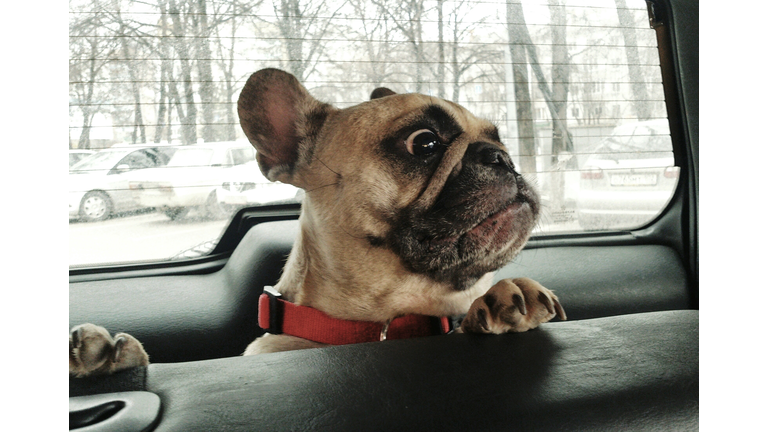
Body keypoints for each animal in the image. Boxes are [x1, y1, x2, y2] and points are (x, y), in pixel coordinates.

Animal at [69, 68, 568, 378]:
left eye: (499, 140)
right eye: (424, 142)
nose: (502, 158)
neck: (382, 325)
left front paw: (502, 297)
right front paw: (105, 358)